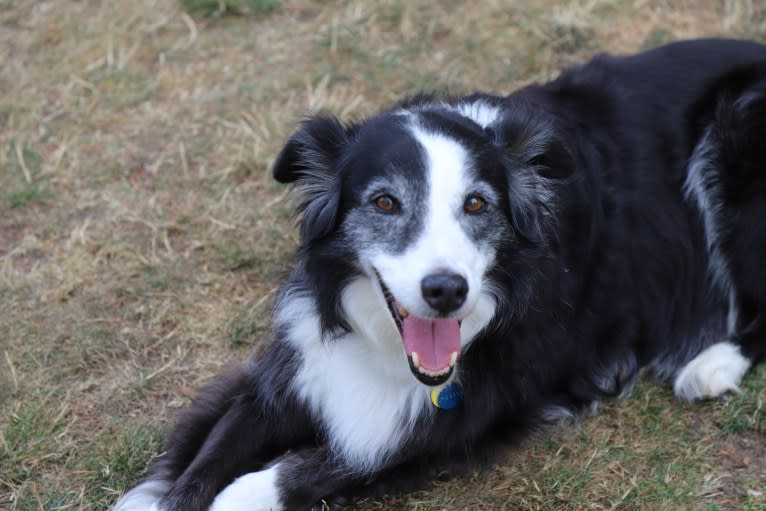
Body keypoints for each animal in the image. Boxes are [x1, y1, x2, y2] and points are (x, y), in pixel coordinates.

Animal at [112, 37, 766, 511]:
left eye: (477, 204)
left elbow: (312, 466)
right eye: (384, 203)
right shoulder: (293, 367)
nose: (447, 291)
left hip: (737, 132)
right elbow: (202, 459)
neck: (382, 347)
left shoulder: (462, 419)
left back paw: (711, 364)